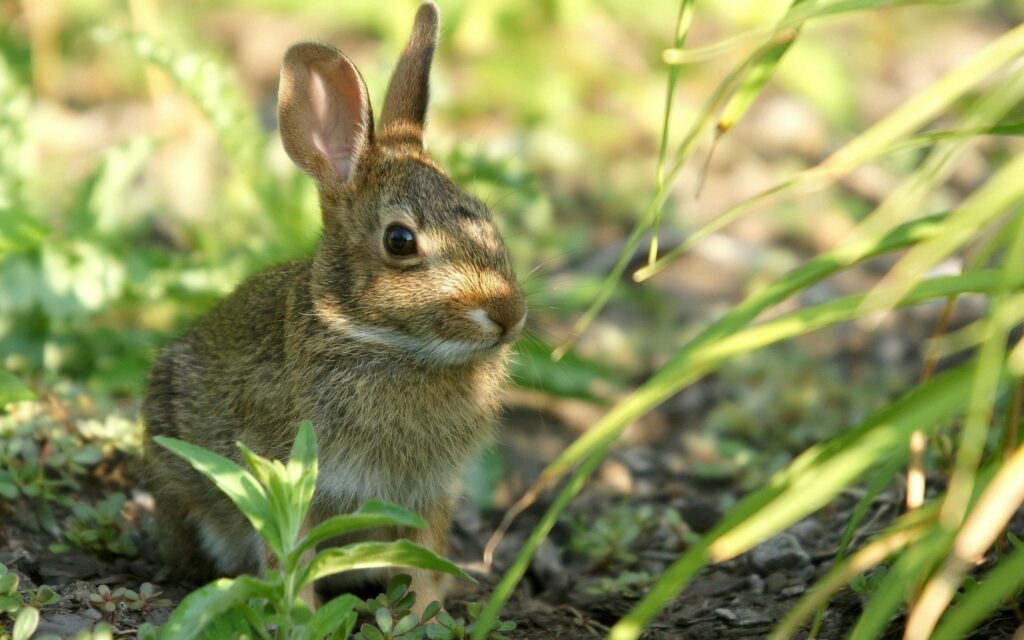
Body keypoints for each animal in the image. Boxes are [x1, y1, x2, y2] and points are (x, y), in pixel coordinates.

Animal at [141, 1, 525, 611]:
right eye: (400, 241)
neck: (382, 341)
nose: (509, 313)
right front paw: (300, 613)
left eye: (486, 217)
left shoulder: (427, 497)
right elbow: (291, 558)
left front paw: (425, 615)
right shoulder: (289, 477)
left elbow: (423, 559)